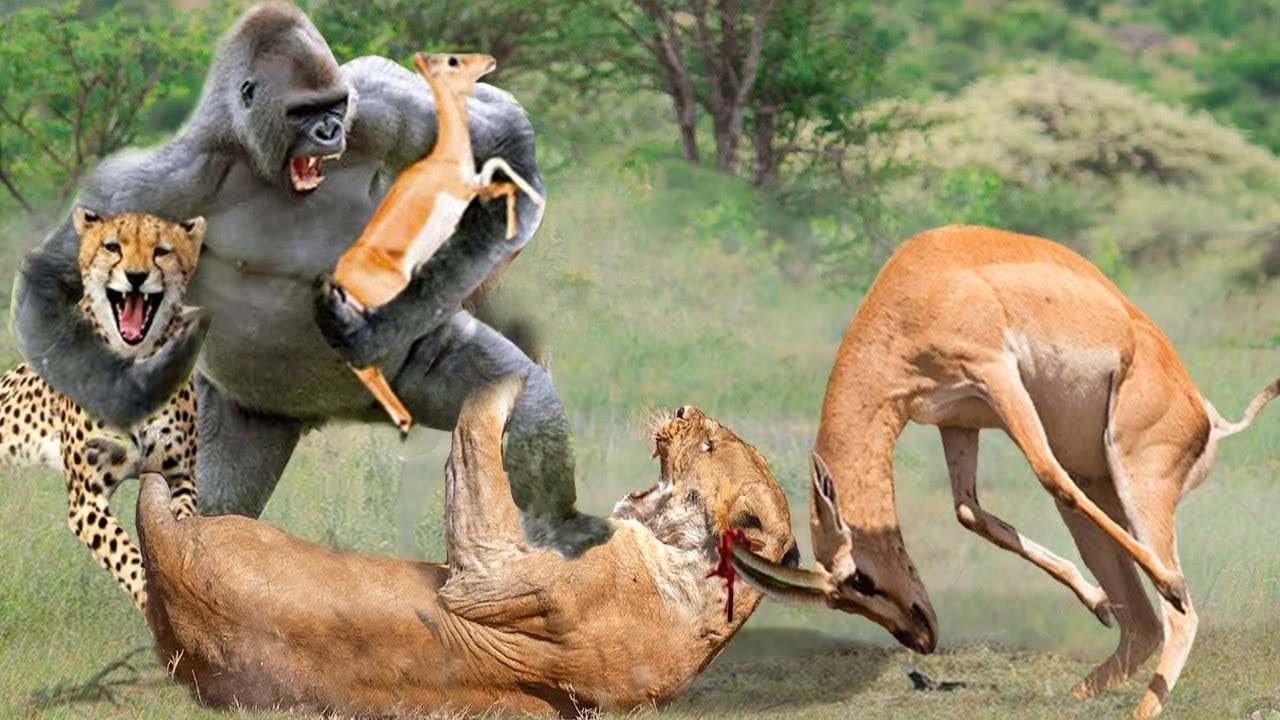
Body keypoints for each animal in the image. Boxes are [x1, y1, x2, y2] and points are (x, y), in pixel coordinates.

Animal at [729, 225, 1278, 718]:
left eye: (859, 579)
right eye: (841, 601)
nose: (922, 638)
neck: (915, 285)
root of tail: (1209, 417)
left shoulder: (995, 373)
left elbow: (1046, 472)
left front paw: (1165, 584)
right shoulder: (956, 419)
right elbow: (970, 512)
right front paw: (1097, 603)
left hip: (1137, 481)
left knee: (1180, 615)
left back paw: (1163, 626)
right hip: (1102, 494)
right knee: (1143, 626)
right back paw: (1086, 685)